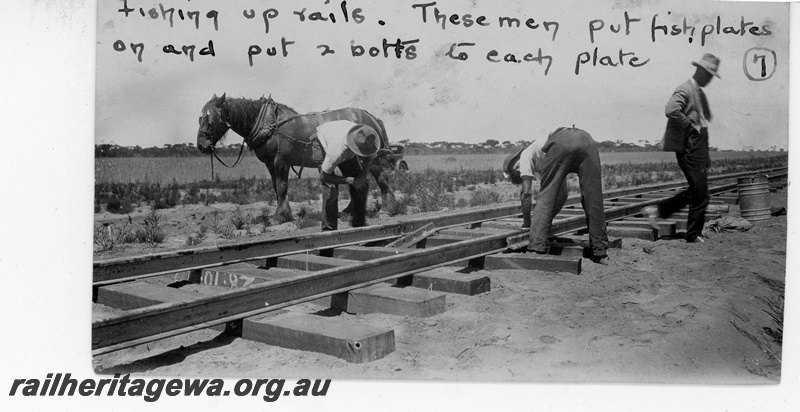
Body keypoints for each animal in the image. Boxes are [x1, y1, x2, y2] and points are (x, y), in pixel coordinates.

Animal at [194, 93, 394, 224]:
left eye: (211, 119)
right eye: (199, 119)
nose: (202, 145)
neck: (269, 124)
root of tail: (372, 117)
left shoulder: (281, 161)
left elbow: (282, 186)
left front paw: (279, 217)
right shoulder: (270, 164)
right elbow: (276, 187)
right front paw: (284, 214)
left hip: (369, 159)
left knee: (376, 180)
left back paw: (383, 210)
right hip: (353, 160)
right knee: (362, 180)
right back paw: (351, 212)